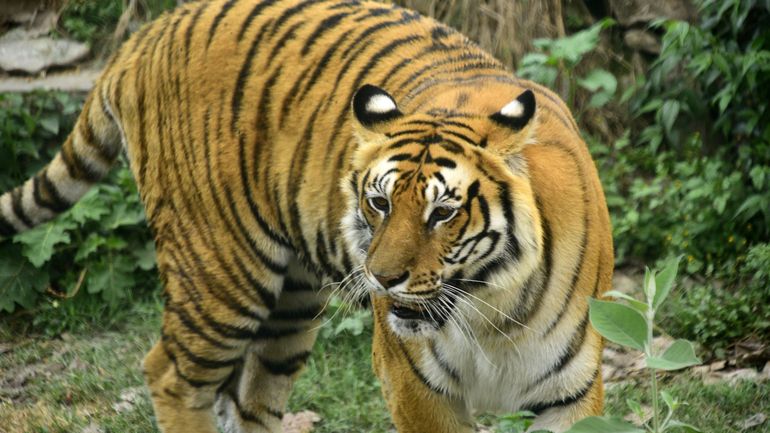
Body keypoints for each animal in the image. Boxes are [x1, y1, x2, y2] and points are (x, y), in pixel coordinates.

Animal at [0, 0, 614, 432]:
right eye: (379, 202)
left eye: (443, 212)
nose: (382, 280)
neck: (492, 312)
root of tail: (147, 33)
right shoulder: (413, 383)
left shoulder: (572, 392)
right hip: (220, 271)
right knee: (171, 373)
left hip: (291, 300)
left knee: (248, 397)